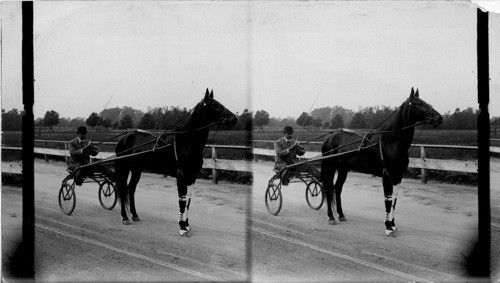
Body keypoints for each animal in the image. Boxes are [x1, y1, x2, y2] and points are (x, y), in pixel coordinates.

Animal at [114, 90, 237, 236]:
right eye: (213, 104)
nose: (234, 118)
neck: (187, 142)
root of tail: (123, 138)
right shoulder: (182, 176)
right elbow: (182, 201)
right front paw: (182, 227)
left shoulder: (192, 176)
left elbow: (188, 200)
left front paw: (187, 225)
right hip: (123, 167)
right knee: (122, 189)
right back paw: (125, 217)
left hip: (137, 169)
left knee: (131, 189)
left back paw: (134, 215)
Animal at [320, 89, 442, 237]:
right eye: (418, 103)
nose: (439, 118)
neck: (391, 142)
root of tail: (330, 137)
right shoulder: (387, 176)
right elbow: (388, 200)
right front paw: (388, 227)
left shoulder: (398, 176)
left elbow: (394, 200)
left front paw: (393, 225)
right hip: (330, 167)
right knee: (328, 188)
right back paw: (331, 217)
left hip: (343, 169)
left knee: (337, 189)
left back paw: (341, 215)